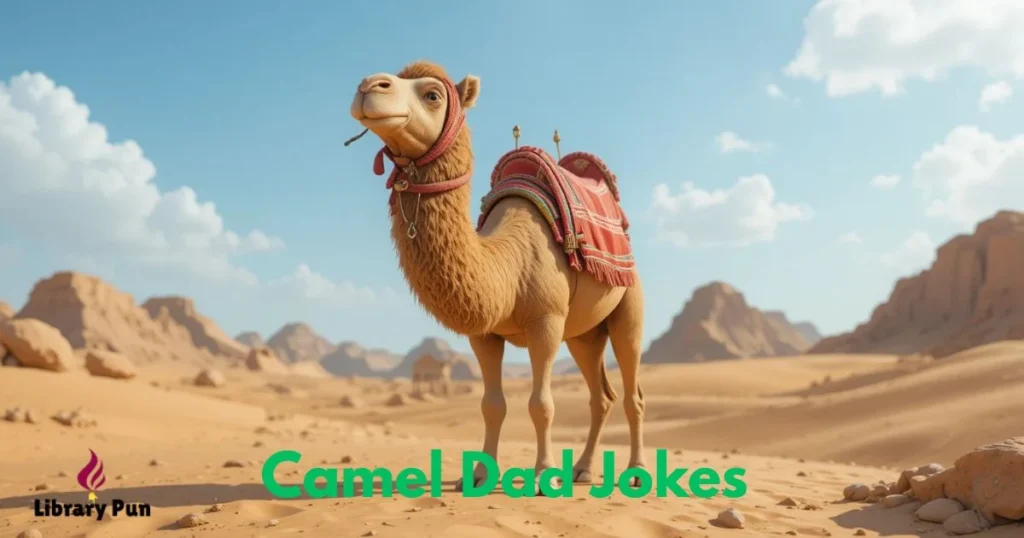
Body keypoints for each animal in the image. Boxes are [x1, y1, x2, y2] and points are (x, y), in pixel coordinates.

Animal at [348, 61, 645, 492]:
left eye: (432, 95)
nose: (369, 86)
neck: (506, 268)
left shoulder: (546, 322)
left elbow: (541, 404)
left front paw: (542, 476)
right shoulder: (484, 334)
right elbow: (492, 405)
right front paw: (479, 476)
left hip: (628, 304)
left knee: (631, 389)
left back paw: (636, 472)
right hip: (584, 333)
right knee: (600, 395)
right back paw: (584, 470)